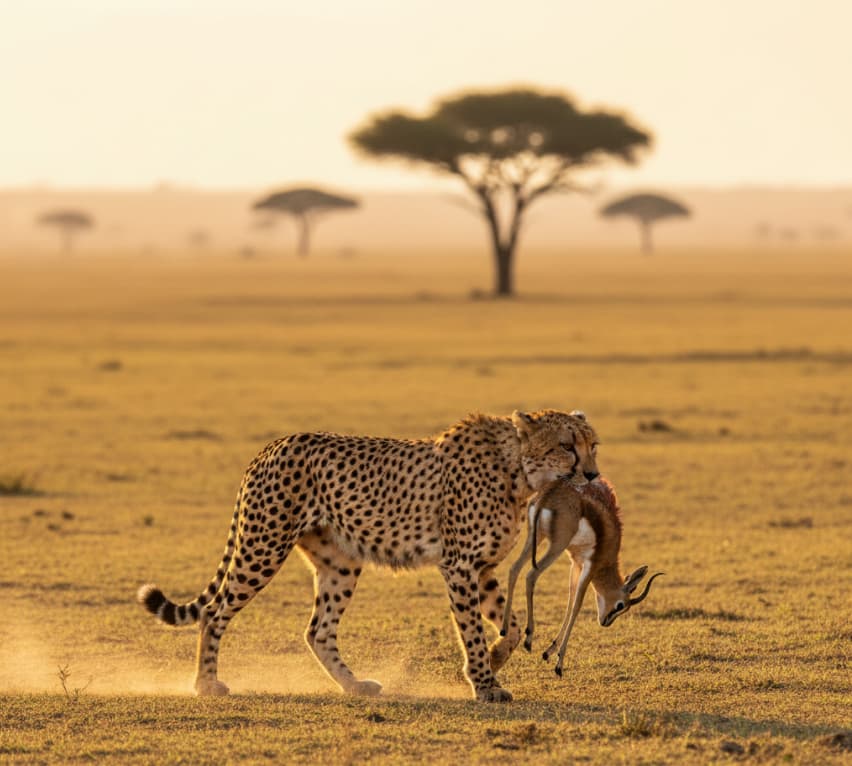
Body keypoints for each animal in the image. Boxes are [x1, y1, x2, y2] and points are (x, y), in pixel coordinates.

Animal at [137, 408, 600, 702]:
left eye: (593, 444)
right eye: (565, 445)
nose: (593, 474)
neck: (516, 471)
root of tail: (273, 444)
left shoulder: (481, 567)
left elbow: (509, 622)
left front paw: (494, 658)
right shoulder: (460, 566)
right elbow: (470, 628)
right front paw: (484, 683)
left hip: (340, 562)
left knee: (318, 630)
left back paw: (354, 686)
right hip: (262, 546)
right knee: (214, 611)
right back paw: (206, 685)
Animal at [501, 477, 663, 676]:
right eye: (620, 606)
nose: (605, 623)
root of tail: (551, 492)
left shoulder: (576, 564)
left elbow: (570, 601)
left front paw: (549, 651)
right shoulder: (591, 566)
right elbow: (577, 606)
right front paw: (559, 663)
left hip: (535, 537)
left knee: (514, 569)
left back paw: (504, 630)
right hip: (556, 545)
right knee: (531, 575)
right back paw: (529, 638)